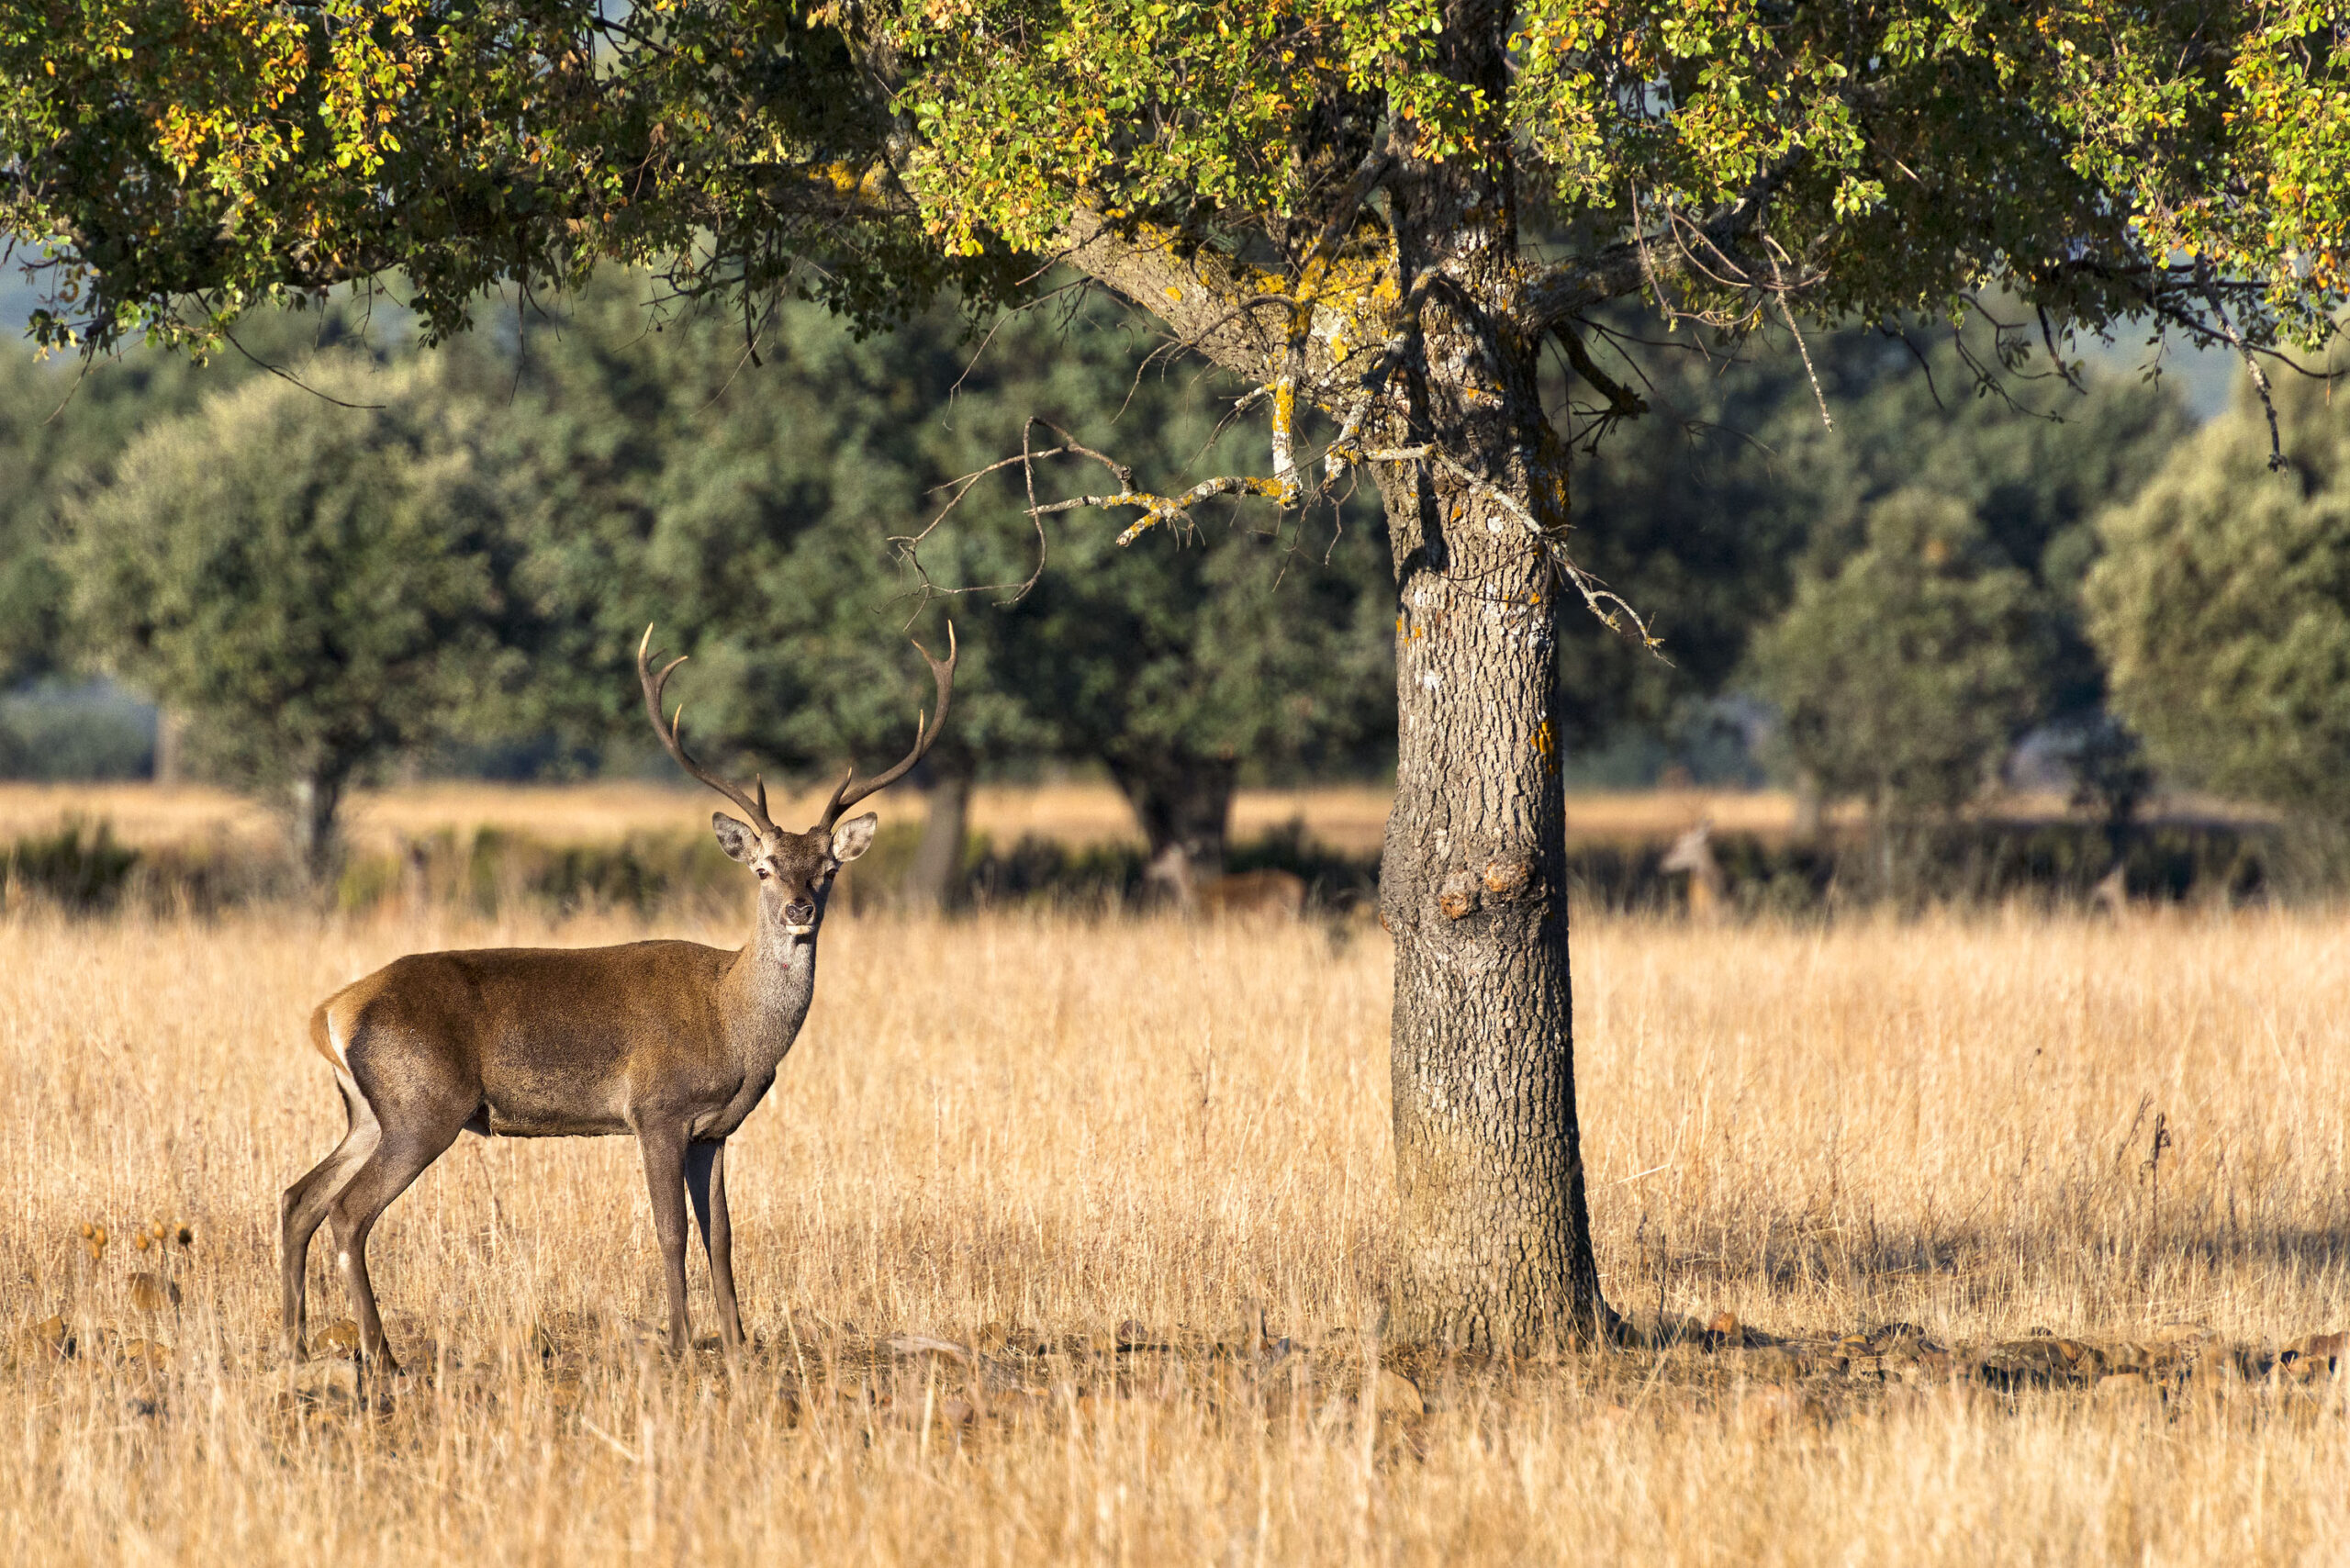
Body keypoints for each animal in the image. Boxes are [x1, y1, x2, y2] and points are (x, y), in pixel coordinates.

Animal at [282, 621, 954, 1363]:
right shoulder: (656, 1108)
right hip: (423, 1104)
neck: (735, 1030)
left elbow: (722, 1235)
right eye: (763, 867)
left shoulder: (716, 1130)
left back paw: (296, 1342)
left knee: (298, 1197)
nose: (799, 909)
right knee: (348, 1212)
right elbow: (672, 1230)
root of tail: (330, 1013)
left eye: (829, 868)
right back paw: (382, 1356)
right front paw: (681, 1342)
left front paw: (739, 1344)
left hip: (369, 1110)